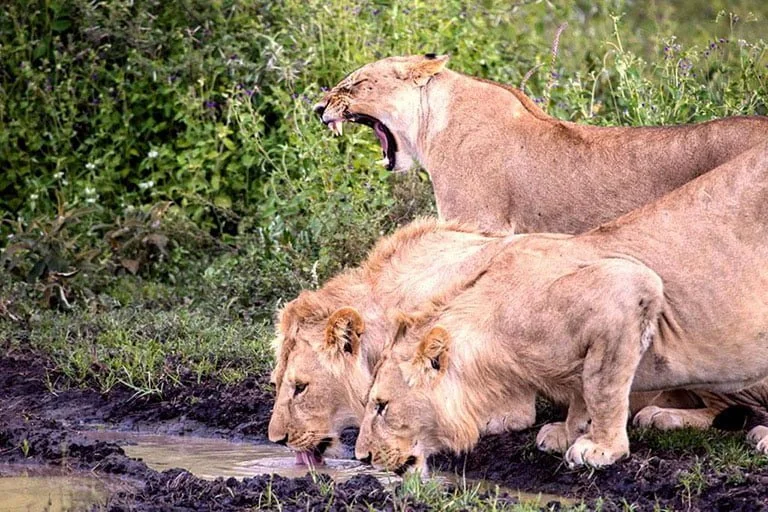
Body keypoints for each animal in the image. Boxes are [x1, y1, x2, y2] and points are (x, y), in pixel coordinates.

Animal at [355, 141, 768, 473]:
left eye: (381, 406)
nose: (361, 457)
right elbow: (583, 389)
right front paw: (569, 431)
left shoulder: (629, 289)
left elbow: (603, 387)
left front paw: (601, 449)